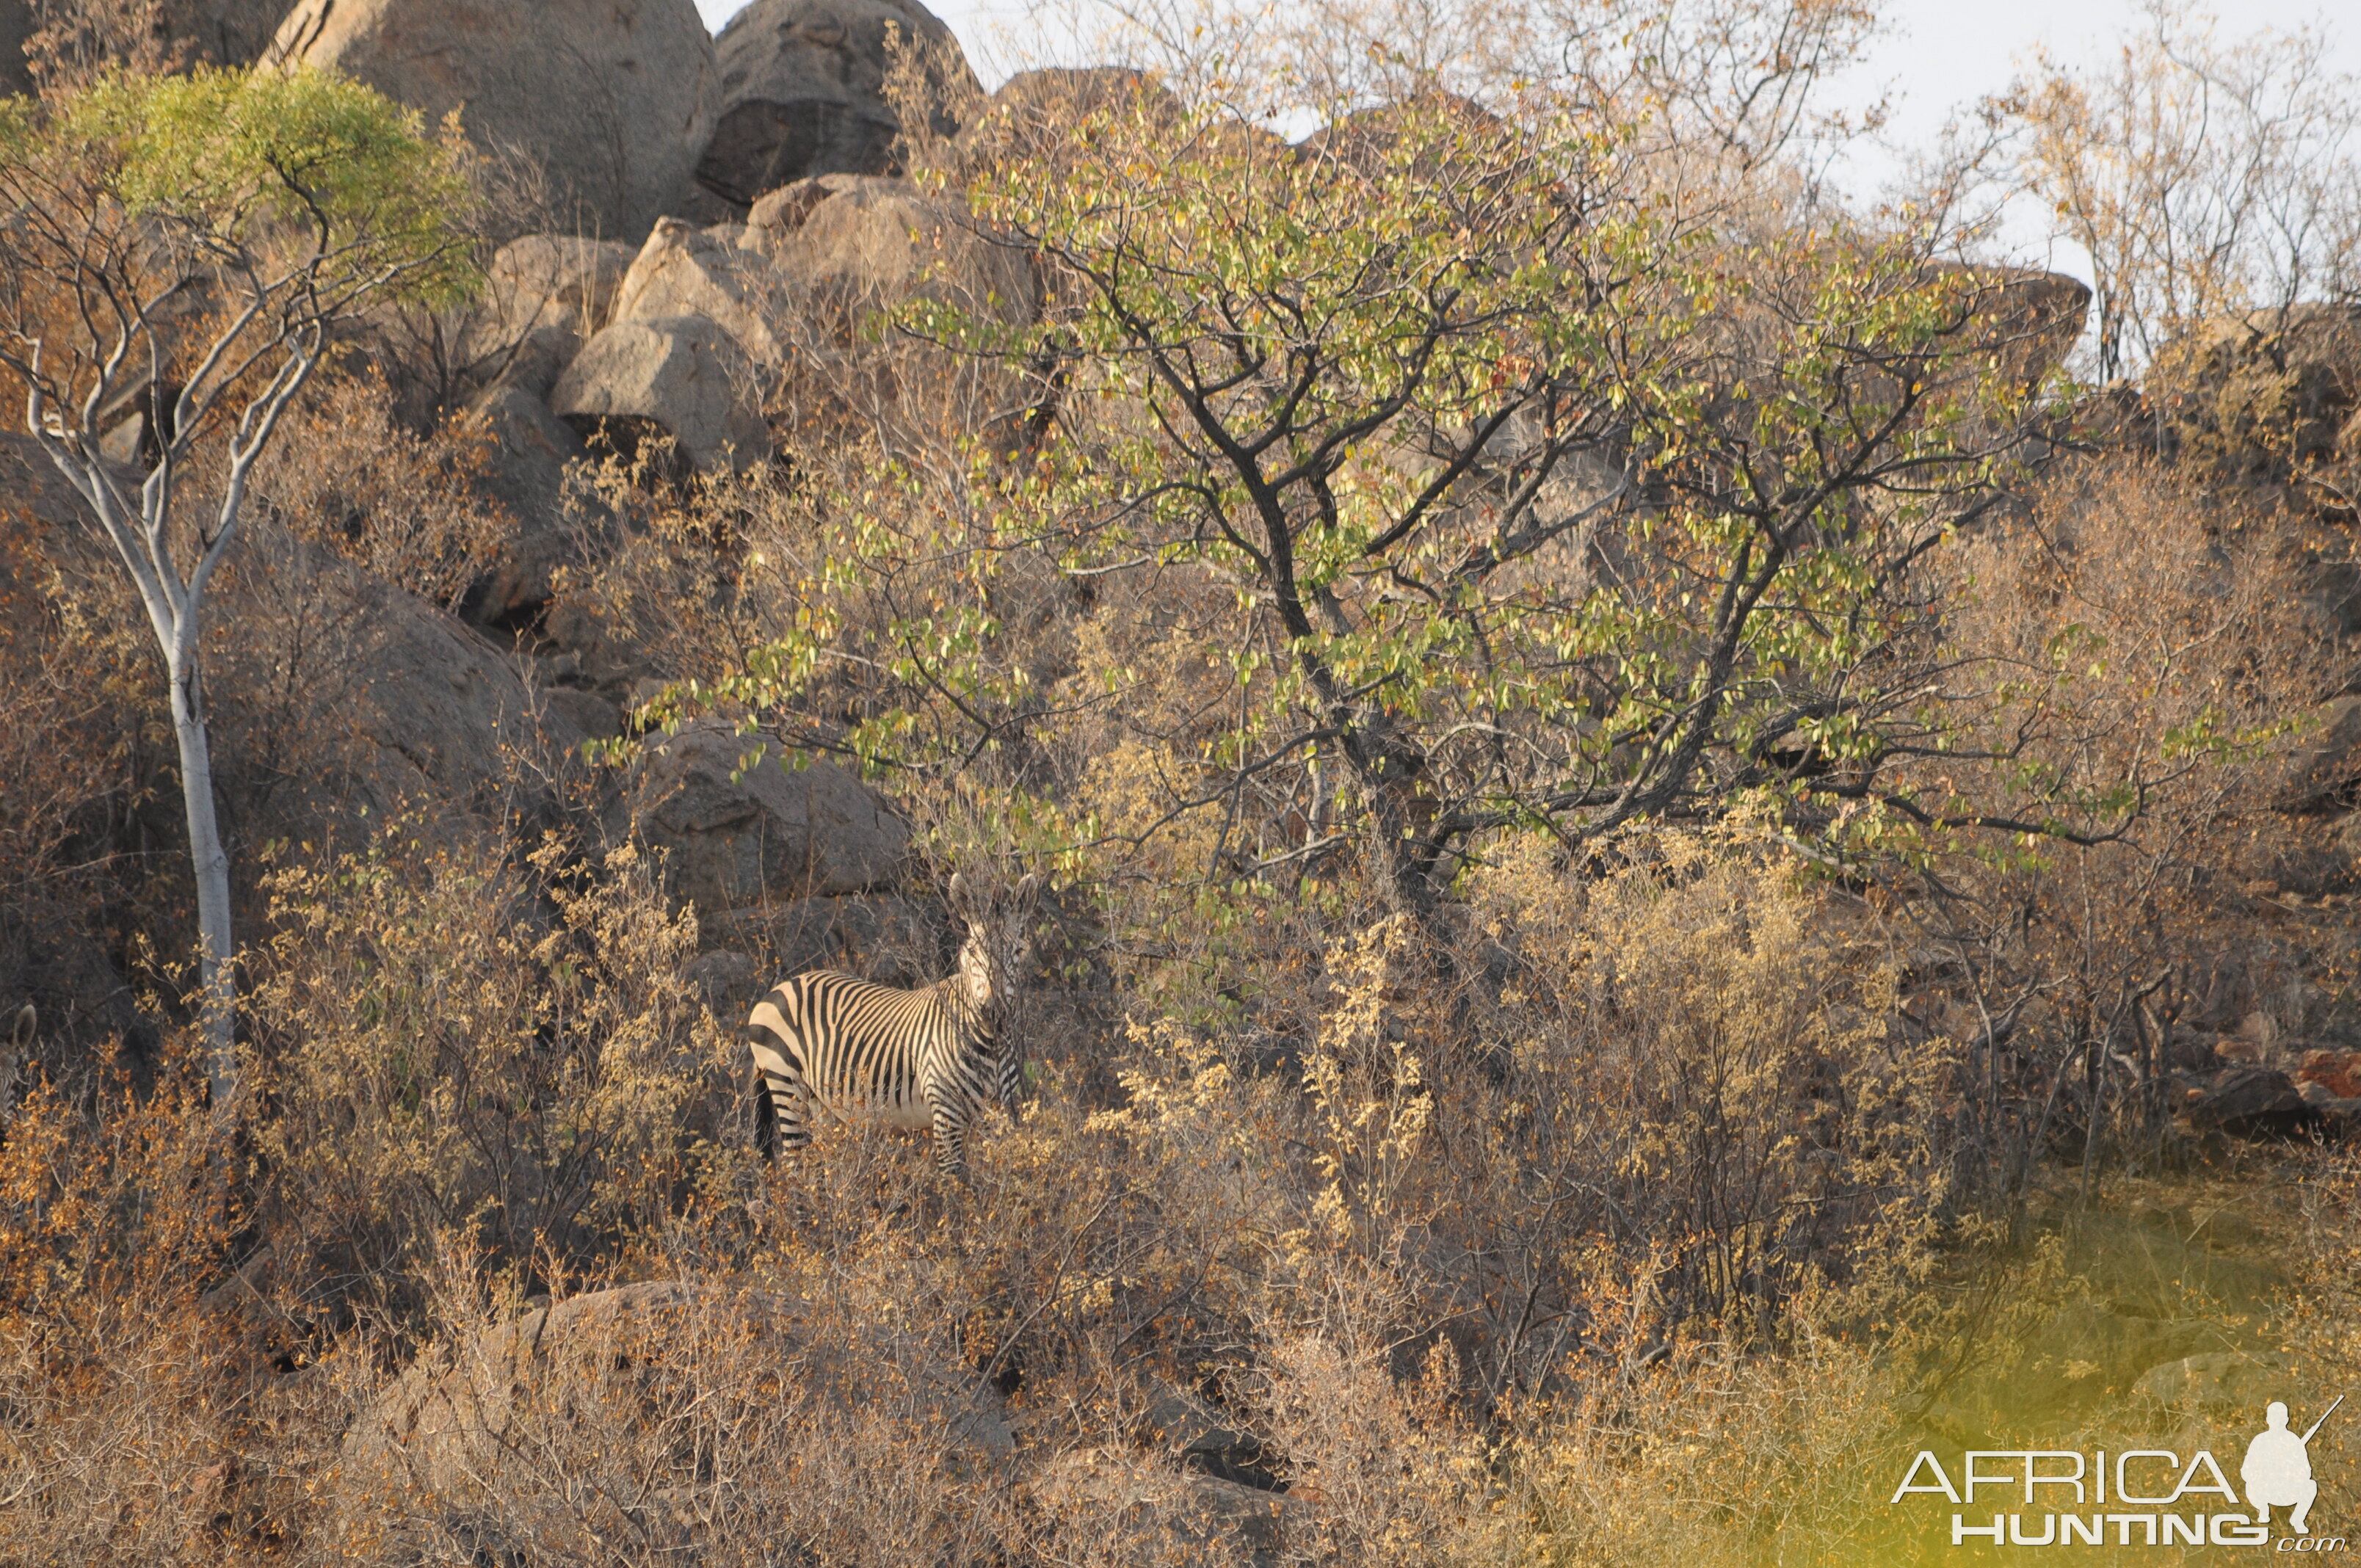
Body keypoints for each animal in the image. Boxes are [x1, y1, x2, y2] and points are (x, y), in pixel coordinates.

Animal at [736, 868, 1034, 1176]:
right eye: (973, 952)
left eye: (1018, 952)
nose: (994, 1011)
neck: (989, 1043)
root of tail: (779, 987)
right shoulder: (946, 1114)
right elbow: (957, 1182)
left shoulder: (1000, 1113)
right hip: (786, 1085)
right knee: (796, 1165)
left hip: (819, 1102)